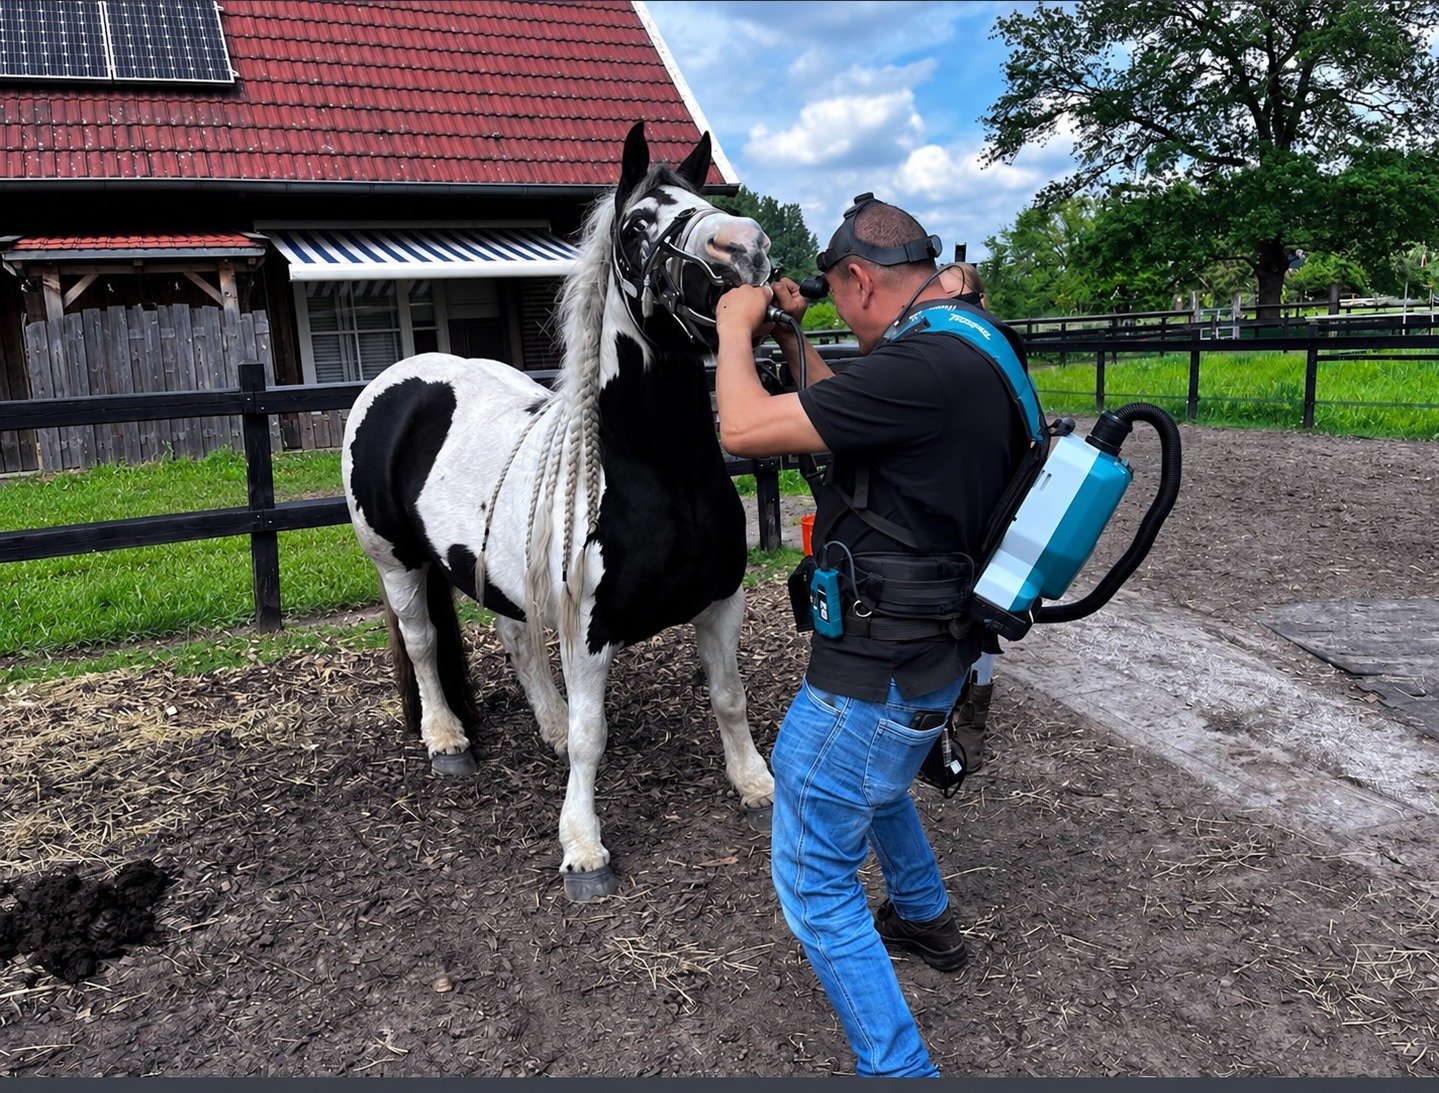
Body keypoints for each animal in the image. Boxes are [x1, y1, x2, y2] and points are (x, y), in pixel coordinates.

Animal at [341, 122, 776, 900]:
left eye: (702, 203)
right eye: (638, 226)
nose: (746, 248)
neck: (657, 474)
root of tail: (397, 378)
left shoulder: (721, 602)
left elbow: (729, 696)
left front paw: (755, 784)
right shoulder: (588, 633)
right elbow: (589, 736)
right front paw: (582, 847)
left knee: (514, 637)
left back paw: (540, 722)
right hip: (396, 563)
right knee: (422, 644)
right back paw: (445, 738)